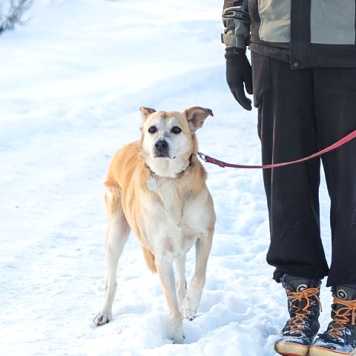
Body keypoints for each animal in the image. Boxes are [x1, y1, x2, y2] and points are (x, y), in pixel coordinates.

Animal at [94, 107, 214, 344]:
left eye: (176, 129)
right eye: (152, 129)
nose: (160, 144)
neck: (171, 180)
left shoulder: (205, 234)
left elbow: (199, 276)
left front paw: (190, 306)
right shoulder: (162, 255)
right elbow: (172, 308)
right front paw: (178, 340)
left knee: (182, 278)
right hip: (116, 231)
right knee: (111, 279)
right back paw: (105, 312)